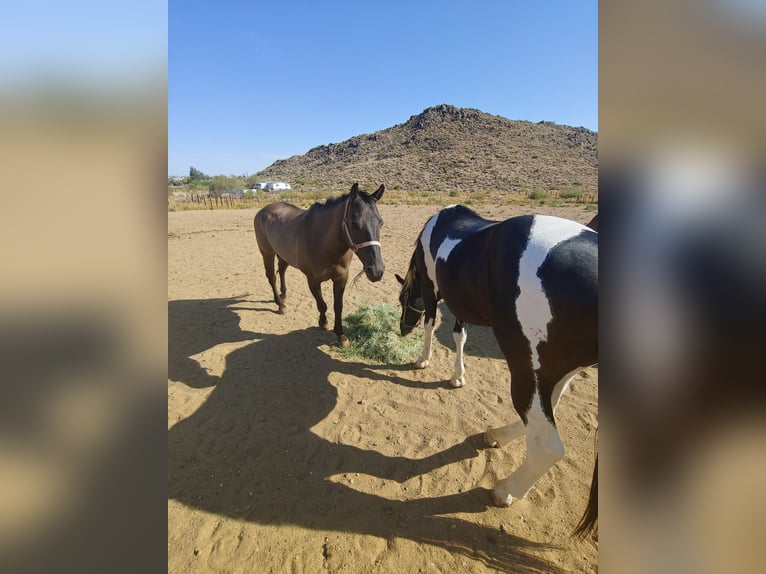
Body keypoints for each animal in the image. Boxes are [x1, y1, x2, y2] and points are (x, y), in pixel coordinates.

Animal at [256, 184, 388, 346]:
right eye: (355, 223)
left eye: (380, 223)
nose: (376, 271)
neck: (323, 241)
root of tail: (263, 210)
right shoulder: (313, 280)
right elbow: (322, 304)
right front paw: (323, 322)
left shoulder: (341, 277)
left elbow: (338, 306)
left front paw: (341, 335)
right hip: (267, 253)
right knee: (272, 277)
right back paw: (280, 304)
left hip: (283, 254)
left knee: (281, 271)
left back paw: (283, 295)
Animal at [400, 205, 604, 536]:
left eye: (403, 299)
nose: (403, 329)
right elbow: (459, 335)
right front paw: (458, 376)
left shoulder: (432, 291)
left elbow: (431, 325)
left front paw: (423, 359)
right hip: (551, 371)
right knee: (543, 411)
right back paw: (497, 435)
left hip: (527, 370)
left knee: (547, 445)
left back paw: (504, 490)